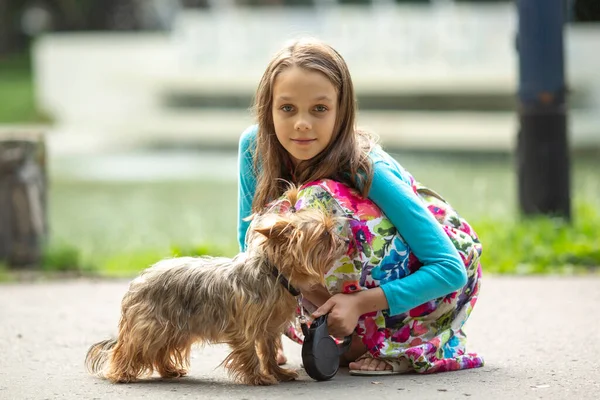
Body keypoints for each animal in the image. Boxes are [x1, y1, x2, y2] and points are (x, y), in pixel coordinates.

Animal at [84, 188, 346, 388]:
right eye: (324, 234)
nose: (343, 240)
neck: (273, 274)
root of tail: (137, 282)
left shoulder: (268, 328)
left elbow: (268, 352)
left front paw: (278, 373)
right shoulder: (246, 326)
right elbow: (250, 352)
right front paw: (258, 377)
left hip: (174, 329)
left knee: (160, 351)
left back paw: (168, 369)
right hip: (152, 326)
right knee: (128, 349)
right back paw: (120, 373)